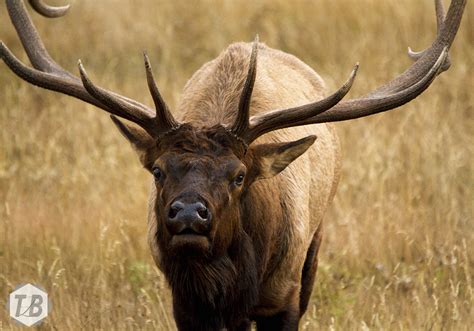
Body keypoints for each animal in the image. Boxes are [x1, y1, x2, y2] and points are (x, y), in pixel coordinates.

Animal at [0, 0, 466, 330]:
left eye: (239, 176)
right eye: (158, 170)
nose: (189, 213)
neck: (230, 284)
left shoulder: (283, 296)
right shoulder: (185, 305)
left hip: (314, 247)